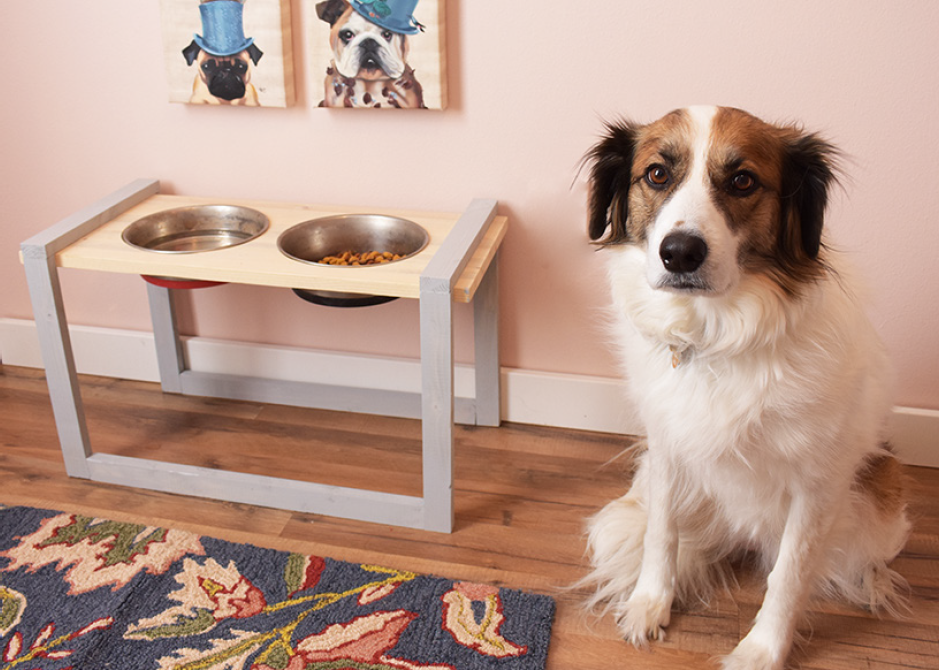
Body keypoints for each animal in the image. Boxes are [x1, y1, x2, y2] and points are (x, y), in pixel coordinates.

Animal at [580, 105, 912, 670]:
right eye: (657, 174)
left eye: (742, 181)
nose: (679, 253)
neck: (715, 337)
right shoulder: (666, 449)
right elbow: (661, 534)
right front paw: (651, 602)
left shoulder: (818, 485)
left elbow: (790, 574)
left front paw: (762, 650)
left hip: (879, 497)